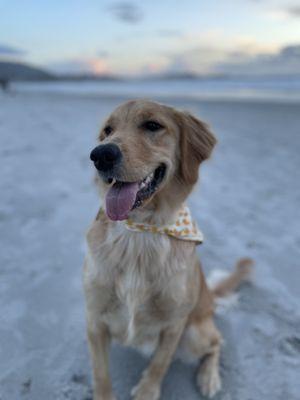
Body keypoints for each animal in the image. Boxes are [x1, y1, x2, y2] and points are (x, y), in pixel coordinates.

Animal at [82, 100, 253, 400]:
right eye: (107, 130)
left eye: (152, 125)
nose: (100, 155)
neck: (140, 232)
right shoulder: (95, 320)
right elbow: (100, 374)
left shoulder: (175, 324)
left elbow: (159, 363)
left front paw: (147, 390)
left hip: (195, 333)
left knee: (216, 342)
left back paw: (209, 377)